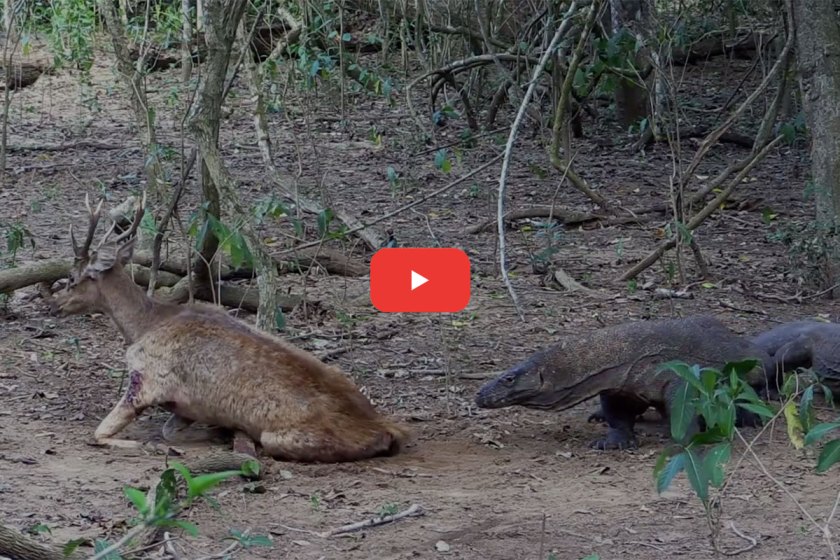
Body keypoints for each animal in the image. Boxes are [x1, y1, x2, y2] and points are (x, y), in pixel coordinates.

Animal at [54, 193, 409, 462]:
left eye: (72, 278)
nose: (53, 304)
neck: (143, 325)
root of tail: (386, 428)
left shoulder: (146, 381)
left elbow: (99, 434)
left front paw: (155, 445)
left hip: (279, 437)